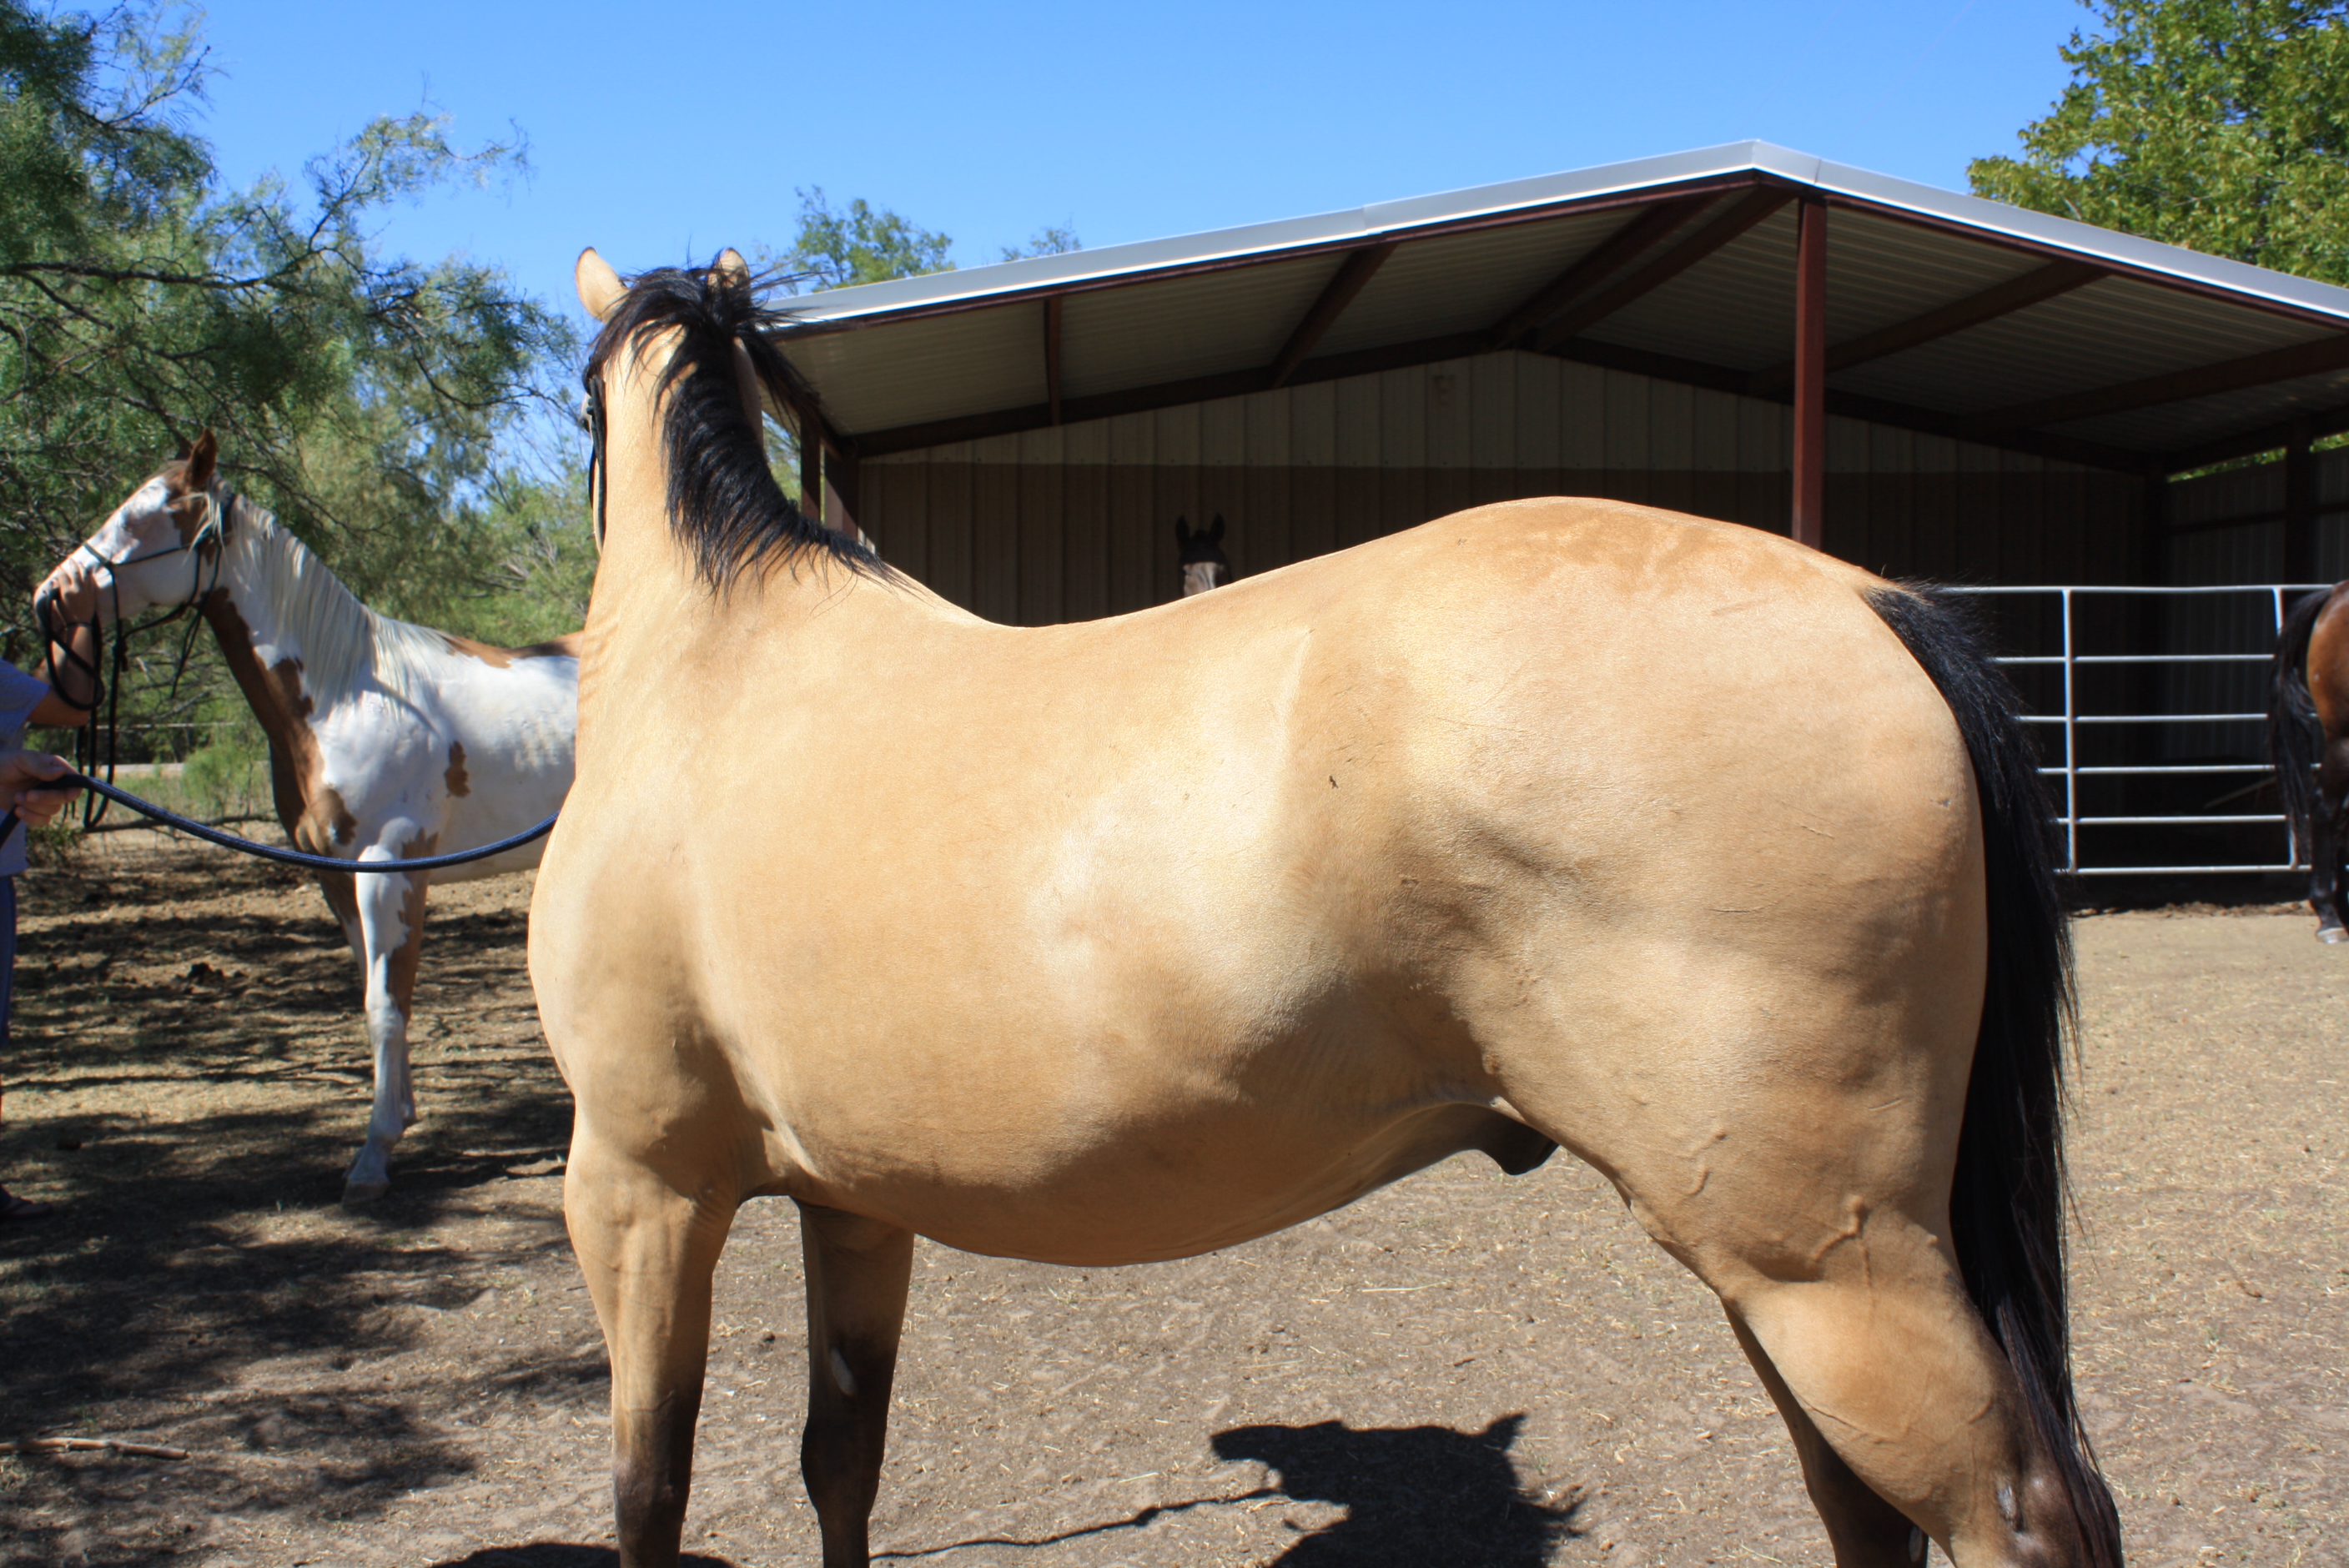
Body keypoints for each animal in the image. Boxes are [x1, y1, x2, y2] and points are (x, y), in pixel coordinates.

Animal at [38, 439, 577, 1201]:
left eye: (147, 518)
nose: (50, 596)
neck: (346, 695)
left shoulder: (388, 869)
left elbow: (386, 1004)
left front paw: (374, 1156)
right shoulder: (337, 876)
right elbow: (374, 995)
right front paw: (398, 1117)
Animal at [533, 247, 2132, 1568]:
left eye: (580, 422)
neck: (718, 672)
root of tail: (1868, 601)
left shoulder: (639, 1185)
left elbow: (650, 1495)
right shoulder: (853, 1205)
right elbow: (841, 1463)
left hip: (1822, 1268)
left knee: (2014, 1516)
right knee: (1864, 1511)